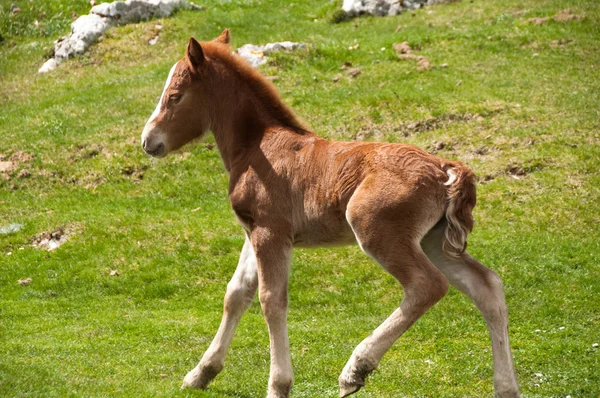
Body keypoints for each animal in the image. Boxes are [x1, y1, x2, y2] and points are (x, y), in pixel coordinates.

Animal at [141, 29, 520, 396]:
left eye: (175, 95)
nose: (148, 141)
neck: (257, 146)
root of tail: (446, 169)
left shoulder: (271, 233)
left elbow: (271, 299)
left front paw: (278, 385)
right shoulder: (254, 231)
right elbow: (236, 293)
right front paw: (200, 374)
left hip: (377, 231)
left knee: (427, 286)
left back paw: (356, 368)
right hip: (433, 239)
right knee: (487, 286)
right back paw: (506, 387)